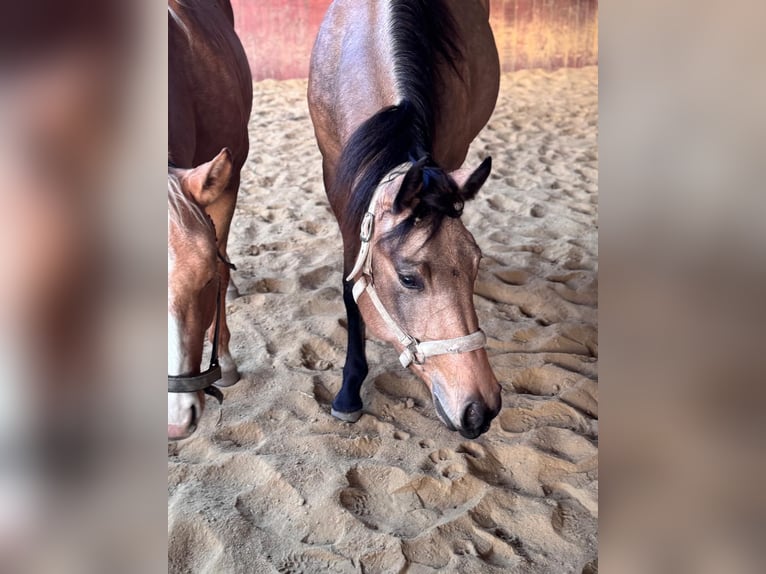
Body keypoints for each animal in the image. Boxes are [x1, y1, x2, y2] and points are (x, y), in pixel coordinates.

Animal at [308, 0, 501, 439]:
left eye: (476, 264)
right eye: (409, 279)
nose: (480, 410)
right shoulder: (338, 179)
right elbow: (351, 285)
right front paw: (348, 392)